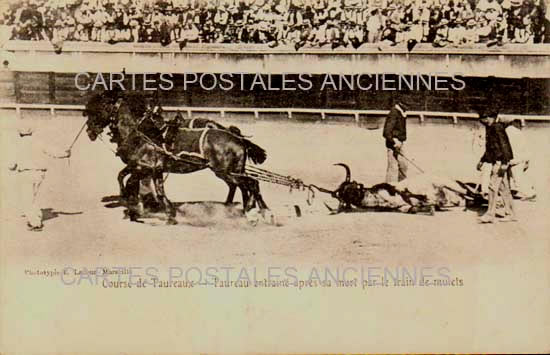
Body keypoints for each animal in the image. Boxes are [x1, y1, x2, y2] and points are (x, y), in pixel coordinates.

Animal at [83, 91, 270, 222]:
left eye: (99, 108)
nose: (89, 132)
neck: (143, 133)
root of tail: (238, 139)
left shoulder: (145, 167)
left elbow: (131, 182)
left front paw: (136, 208)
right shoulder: (151, 169)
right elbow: (137, 182)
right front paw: (165, 212)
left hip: (226, 172)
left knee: (250, 184)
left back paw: (257, 212)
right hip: (232, 171)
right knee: (244, 186)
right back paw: (246, 210)